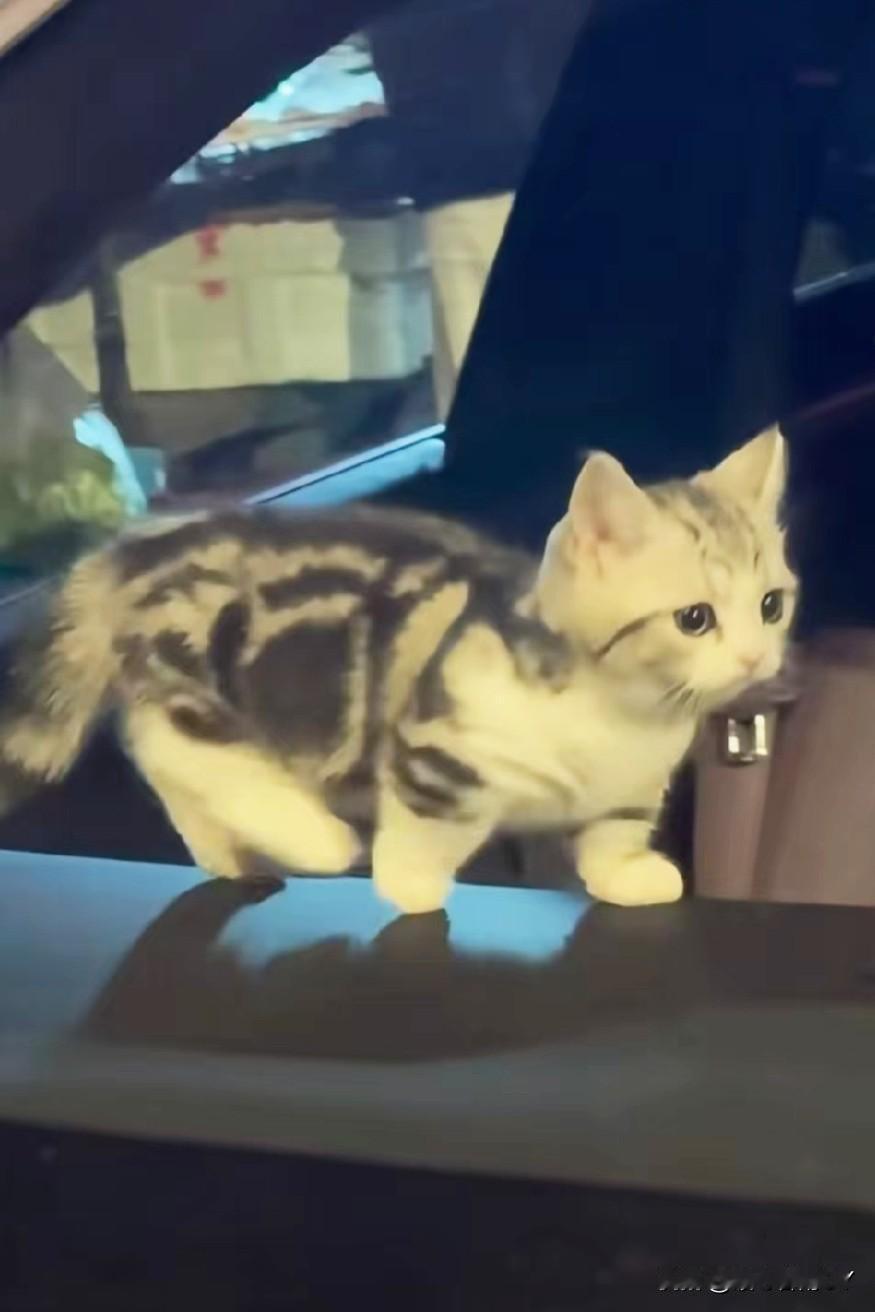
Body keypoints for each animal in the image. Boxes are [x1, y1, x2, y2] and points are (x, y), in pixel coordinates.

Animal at [0, 425, 795, 915]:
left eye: (770, 605)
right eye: (694, 619)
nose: (756, 656)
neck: (624, 716)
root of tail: (131, 552)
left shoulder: (633, 785)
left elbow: (612, 833)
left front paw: (628, 873)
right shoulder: (440, 746)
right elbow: (428, 829)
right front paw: (410, 885)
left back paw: (225, 853)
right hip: (202, 669)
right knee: (170, 742)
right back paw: (308, 834)